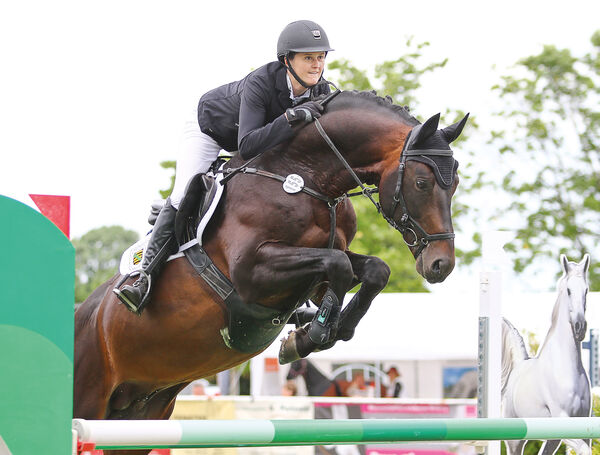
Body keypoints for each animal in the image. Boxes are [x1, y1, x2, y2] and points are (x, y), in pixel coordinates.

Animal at [74, 90, 468, 454]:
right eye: (421, 183)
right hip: (89, 399)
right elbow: (339, 265)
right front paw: (314, 334)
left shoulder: (318, 272)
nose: (440, 265)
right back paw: (136, 289)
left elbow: (374, 269)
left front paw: (319, 333)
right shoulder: (251, 272)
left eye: (455, 184)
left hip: (142, 416)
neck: (307, 176)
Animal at [501, 254, 591, 455]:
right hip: (515, 440)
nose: (580, 328)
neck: (568, 369)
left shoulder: (584, 427)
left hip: (552, 439)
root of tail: (520, 365)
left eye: (587, 291)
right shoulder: (562, 420)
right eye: (568, 291)